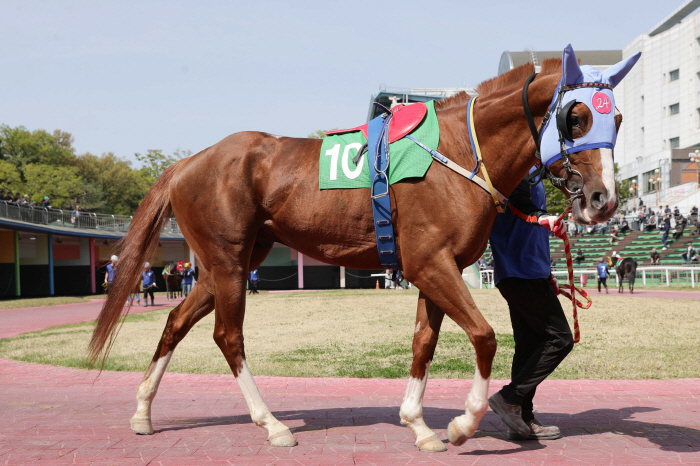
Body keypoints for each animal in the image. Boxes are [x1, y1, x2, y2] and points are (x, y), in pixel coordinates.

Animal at [90, 47, 636, 452]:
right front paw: (462, 425)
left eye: (618, 118)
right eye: (575, 117)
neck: (458, 152)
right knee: (229, 336)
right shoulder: (431, 265)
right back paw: (272, 423)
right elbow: (483, 337)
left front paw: (418, 424)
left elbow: (423, 344)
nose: (602, 200)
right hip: (227, 262)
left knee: (175, 321)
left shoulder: (437, 269)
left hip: (228, 264)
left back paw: (143, 411)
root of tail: (188, 163)